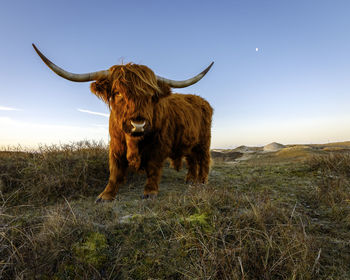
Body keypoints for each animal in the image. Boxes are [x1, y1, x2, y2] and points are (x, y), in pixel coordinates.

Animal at [32, 43, 213, 201]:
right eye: (118, 93)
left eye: (151, 96)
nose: (138, 125)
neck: (134, 141)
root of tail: (202, 100)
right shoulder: (116, 144)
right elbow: (115, 169)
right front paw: (105, 195)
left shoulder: (159, 145)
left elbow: (153, 168)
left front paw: (150, 192)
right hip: (189, 143)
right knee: (192, 159)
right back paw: (190, 180)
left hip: (204, 141)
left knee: (203, 159)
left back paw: (202, 182)